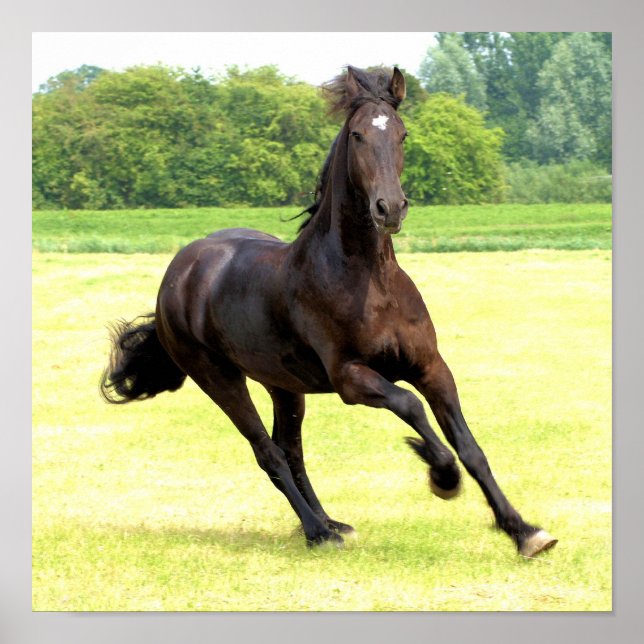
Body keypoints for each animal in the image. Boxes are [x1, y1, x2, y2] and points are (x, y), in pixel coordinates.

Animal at [101, 66, 557, 557]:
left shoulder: (432, 367)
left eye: (402, 134)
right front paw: (442, 476)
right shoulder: (350, 378)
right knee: (268, 452)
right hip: (218, 378)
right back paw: (318, 533)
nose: (390, 208)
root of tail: (178, 273)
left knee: (290, 449)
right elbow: (410, 406)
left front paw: (525, 532)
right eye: (357, 135)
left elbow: (470, 447)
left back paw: (329, 522)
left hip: (283, 385)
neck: (368, 281)